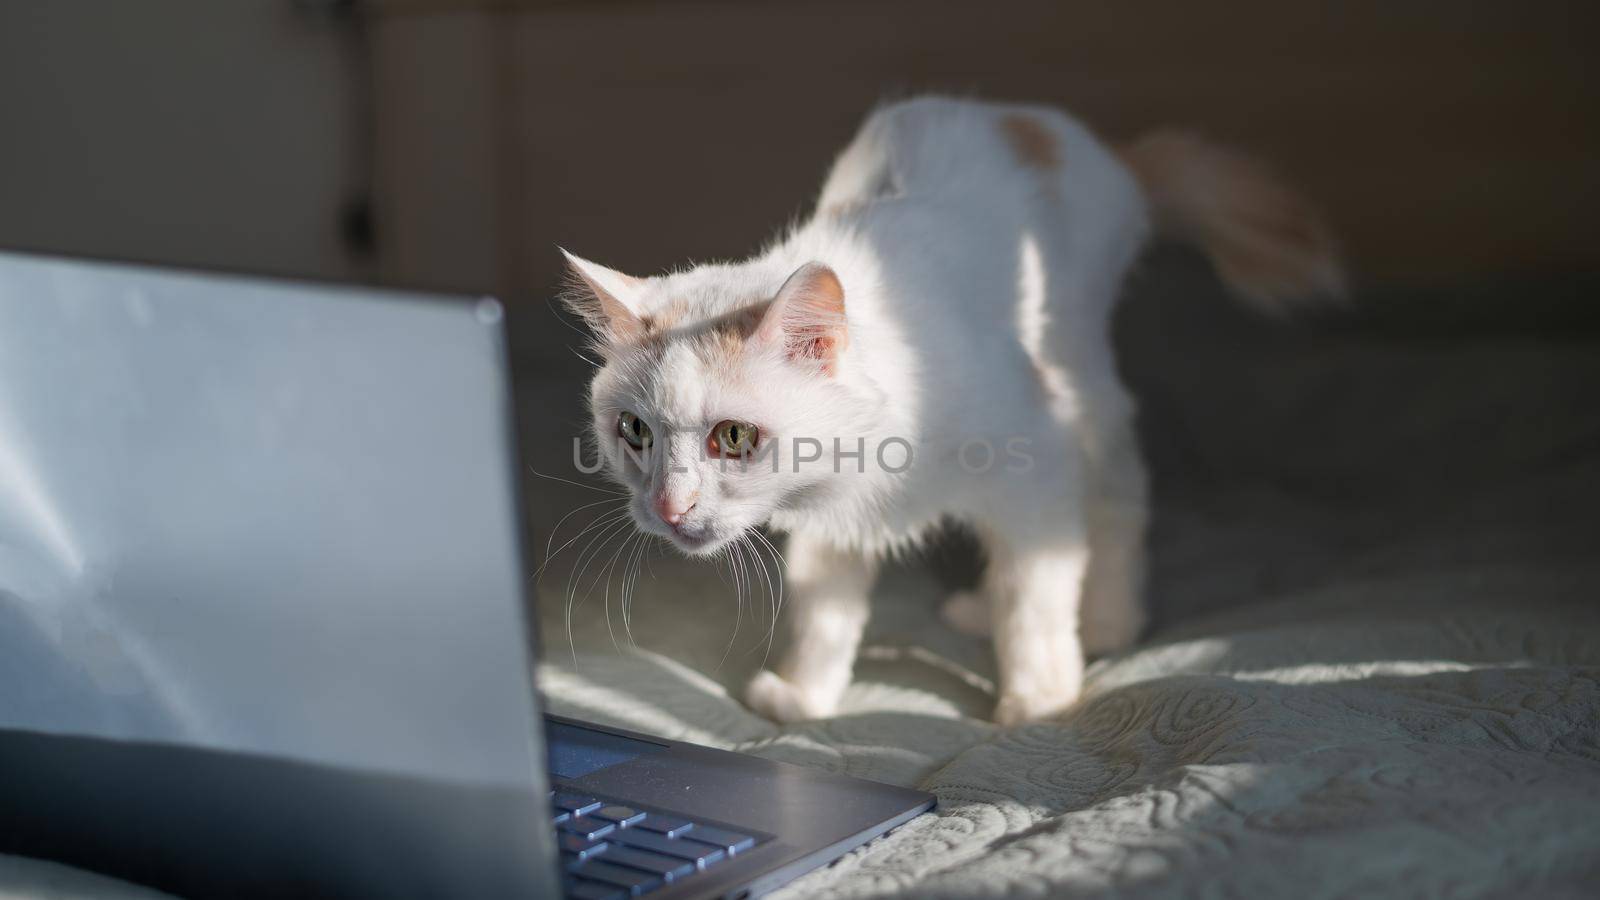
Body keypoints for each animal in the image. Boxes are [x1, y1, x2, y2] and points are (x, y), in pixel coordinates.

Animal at [560, 96, 1337, 720]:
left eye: (733, 436)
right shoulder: (831, 524)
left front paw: (1040, 702)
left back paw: (1106, 624)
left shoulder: (1038, 466)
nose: (668, 508)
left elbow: (1035, 596)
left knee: (1115, 508)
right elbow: (823, 614)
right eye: (634, 432)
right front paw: (803, 699)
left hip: (1085, 387)